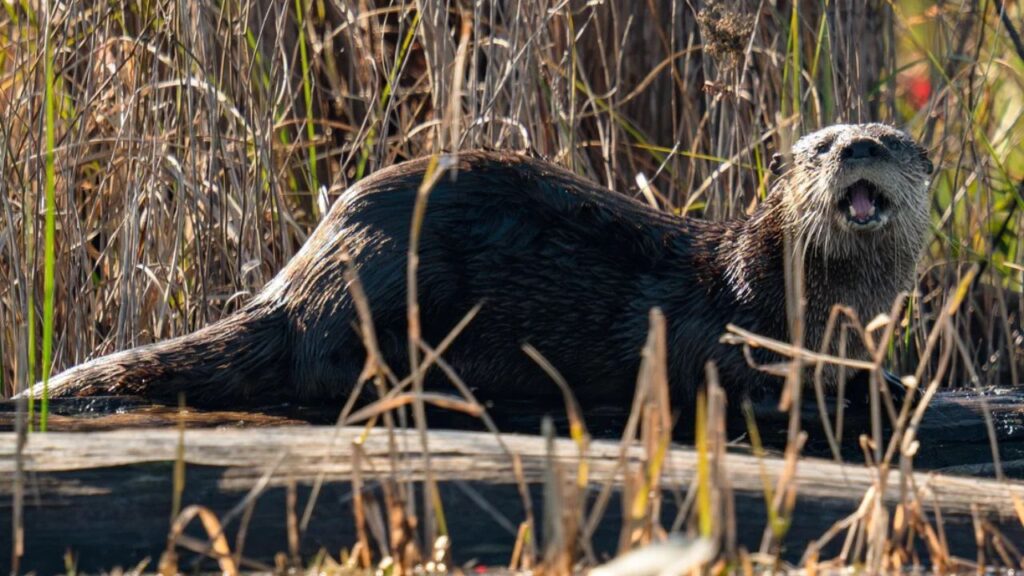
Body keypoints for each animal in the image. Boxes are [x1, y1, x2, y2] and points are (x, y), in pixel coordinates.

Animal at [23, 124, 932, 409]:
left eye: (890, 140)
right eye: (821, 145)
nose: (857, 147)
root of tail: (296, 277)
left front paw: (887, 379)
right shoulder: (724, 320)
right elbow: (735, 368)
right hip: (389, 271)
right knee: (323, 365)